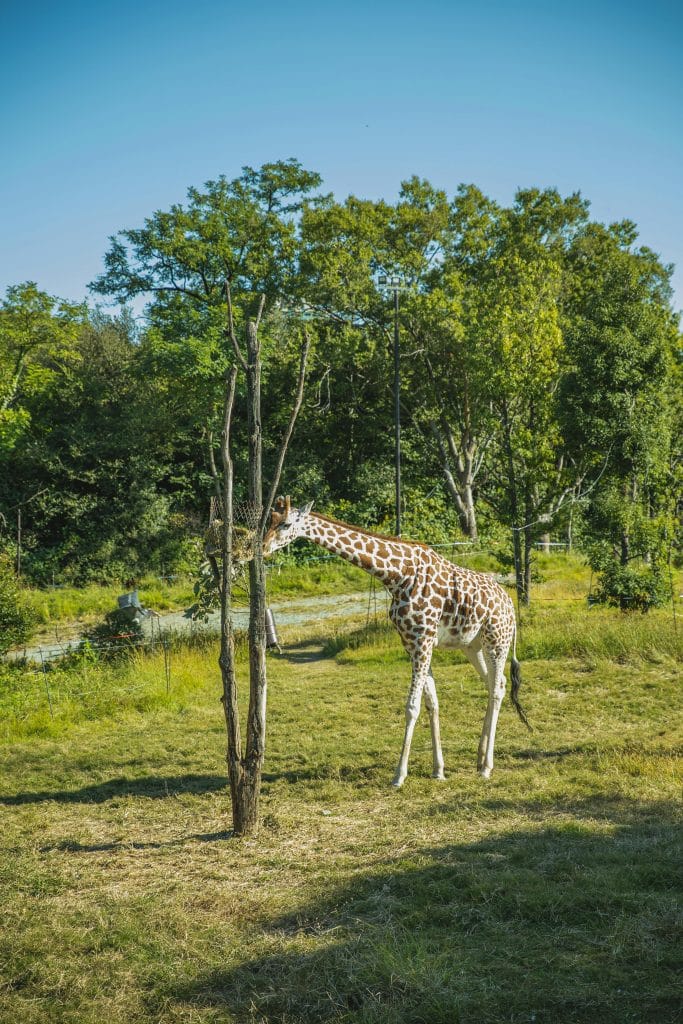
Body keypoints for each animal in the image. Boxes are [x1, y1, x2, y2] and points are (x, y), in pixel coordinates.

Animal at [262, 496, 531, 787]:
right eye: (269, 521)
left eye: (286, 523)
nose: (263, 548)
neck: (396, 575)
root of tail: (510, 605)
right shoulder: (413, 643)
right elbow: (431, 703)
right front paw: (438, 770)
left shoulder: (423, 640)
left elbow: (412, 706)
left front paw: (399, 775)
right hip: (473, 646)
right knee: (496, 683)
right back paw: (479, 758)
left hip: (497, 641)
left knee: (497, 688)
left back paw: (487, 767)